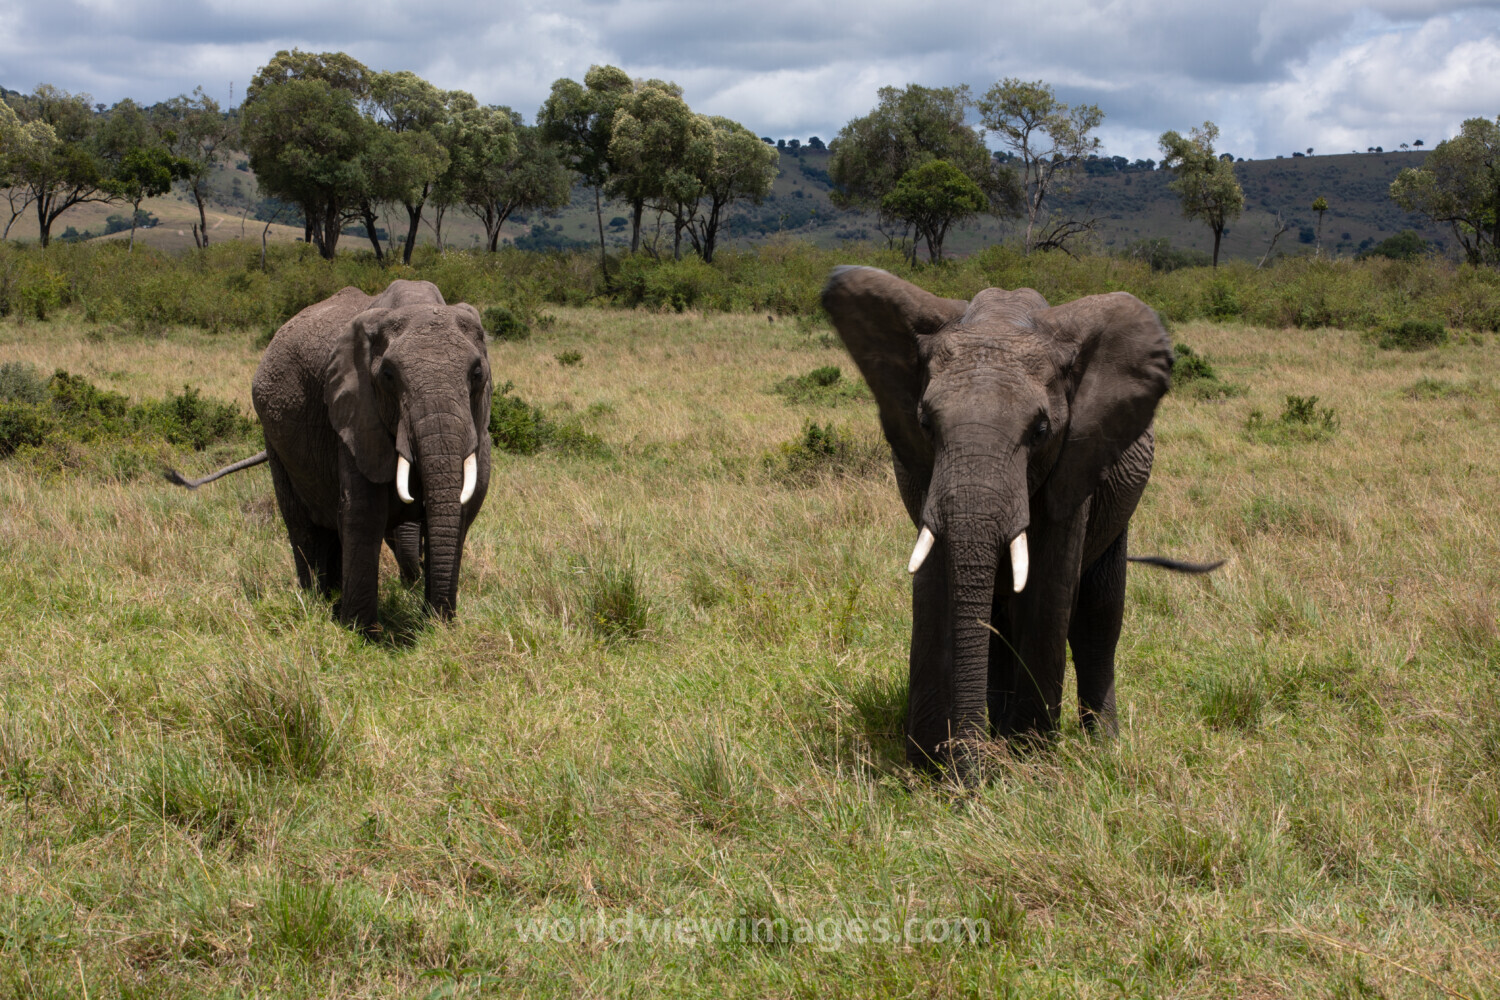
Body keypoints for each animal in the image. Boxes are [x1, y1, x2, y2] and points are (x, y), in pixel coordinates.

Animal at [167, 279, 493, 632]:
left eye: (477, 373)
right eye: (388, 376)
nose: (437, 620)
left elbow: (461, 510)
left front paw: (439, 627)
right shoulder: (353, 415)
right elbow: (362, 512)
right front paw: (361, 632)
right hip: (275, 440)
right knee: (301, 522)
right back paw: (316, 600)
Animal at [822, 266, 1218, 773]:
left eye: (1041, 430)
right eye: (926, 424)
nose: (972, 769)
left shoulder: (1074, 461)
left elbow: (1048, 589)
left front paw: (1027, 761)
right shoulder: (925, 473)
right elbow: (935, 584)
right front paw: (931, 766)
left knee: (1097, 616)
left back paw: (1098, 746)